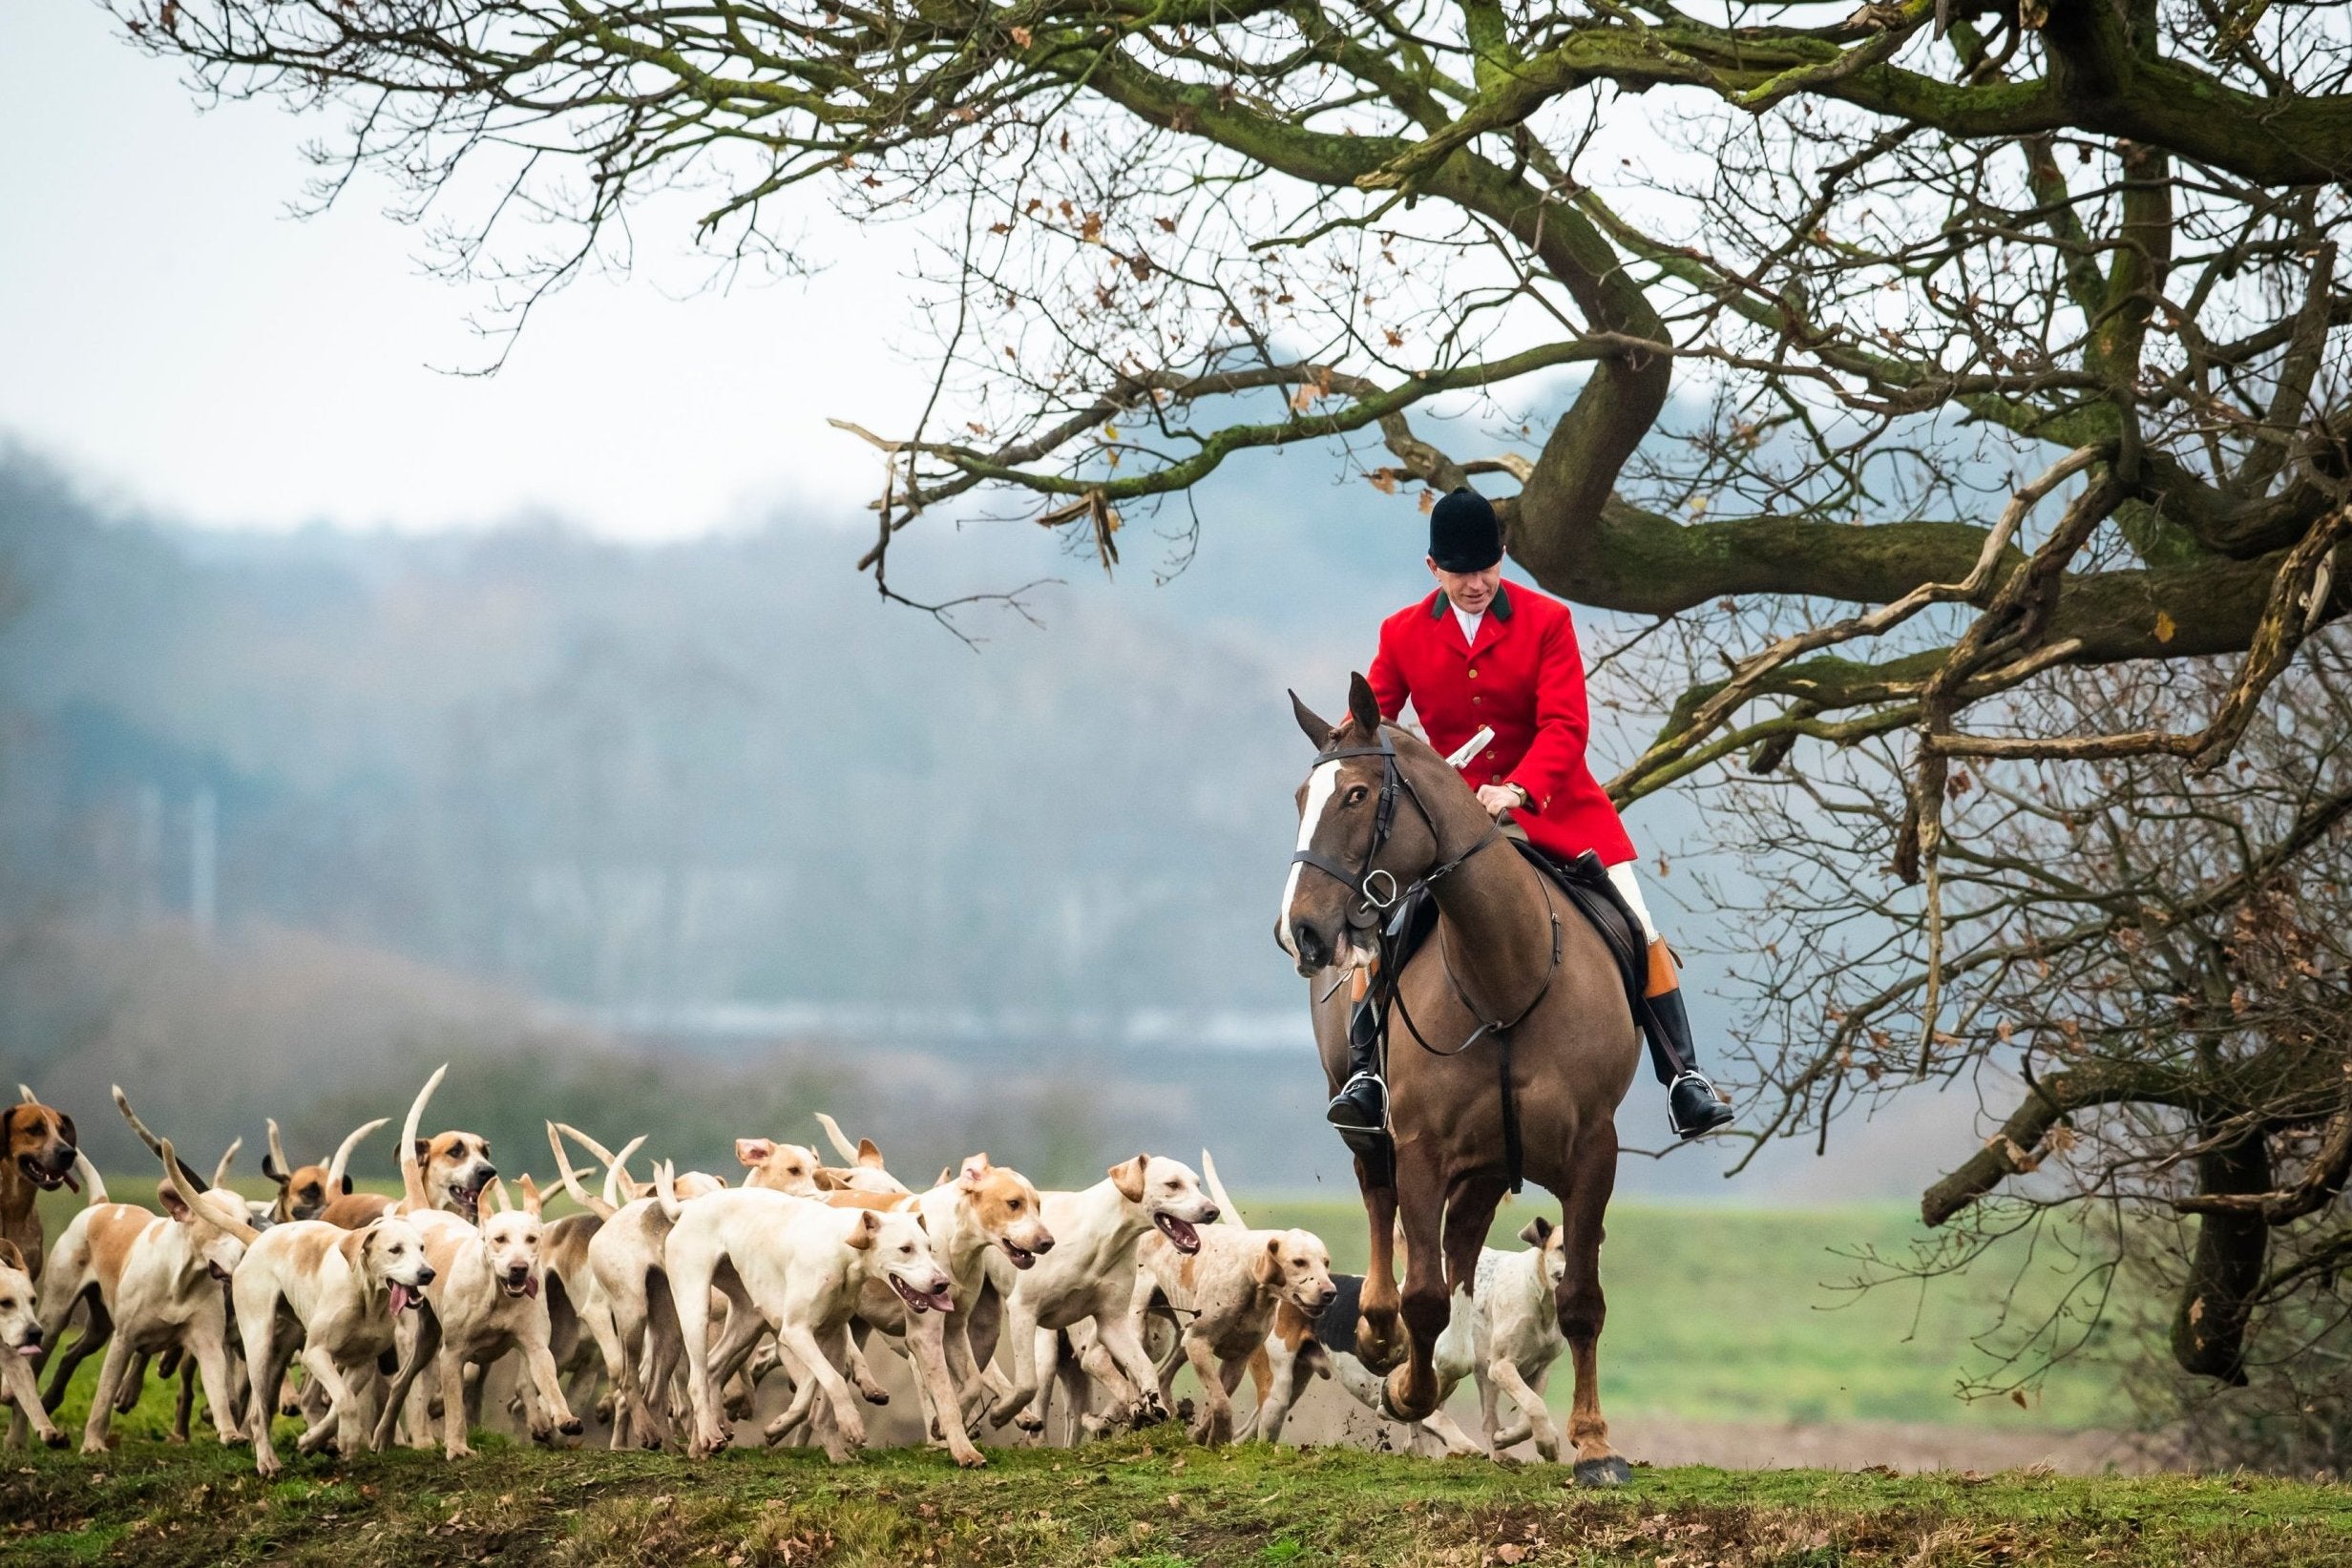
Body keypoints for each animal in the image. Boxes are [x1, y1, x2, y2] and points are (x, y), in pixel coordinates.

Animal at [1289, 677, 1636, 1485]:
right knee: (1384, 1216)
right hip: (1372, 1128)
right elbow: (1421, 1294)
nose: (1304, 931)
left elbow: (1580, 1297)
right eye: (1300, 797)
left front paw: (1594, 1444)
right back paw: (1380, 1333)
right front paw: (1406, 1382)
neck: (1503, 973)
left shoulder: (1591, 1153)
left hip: (1485, 1168)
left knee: (1463, 1255)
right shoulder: (1420, 1146)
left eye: (1355, 794)